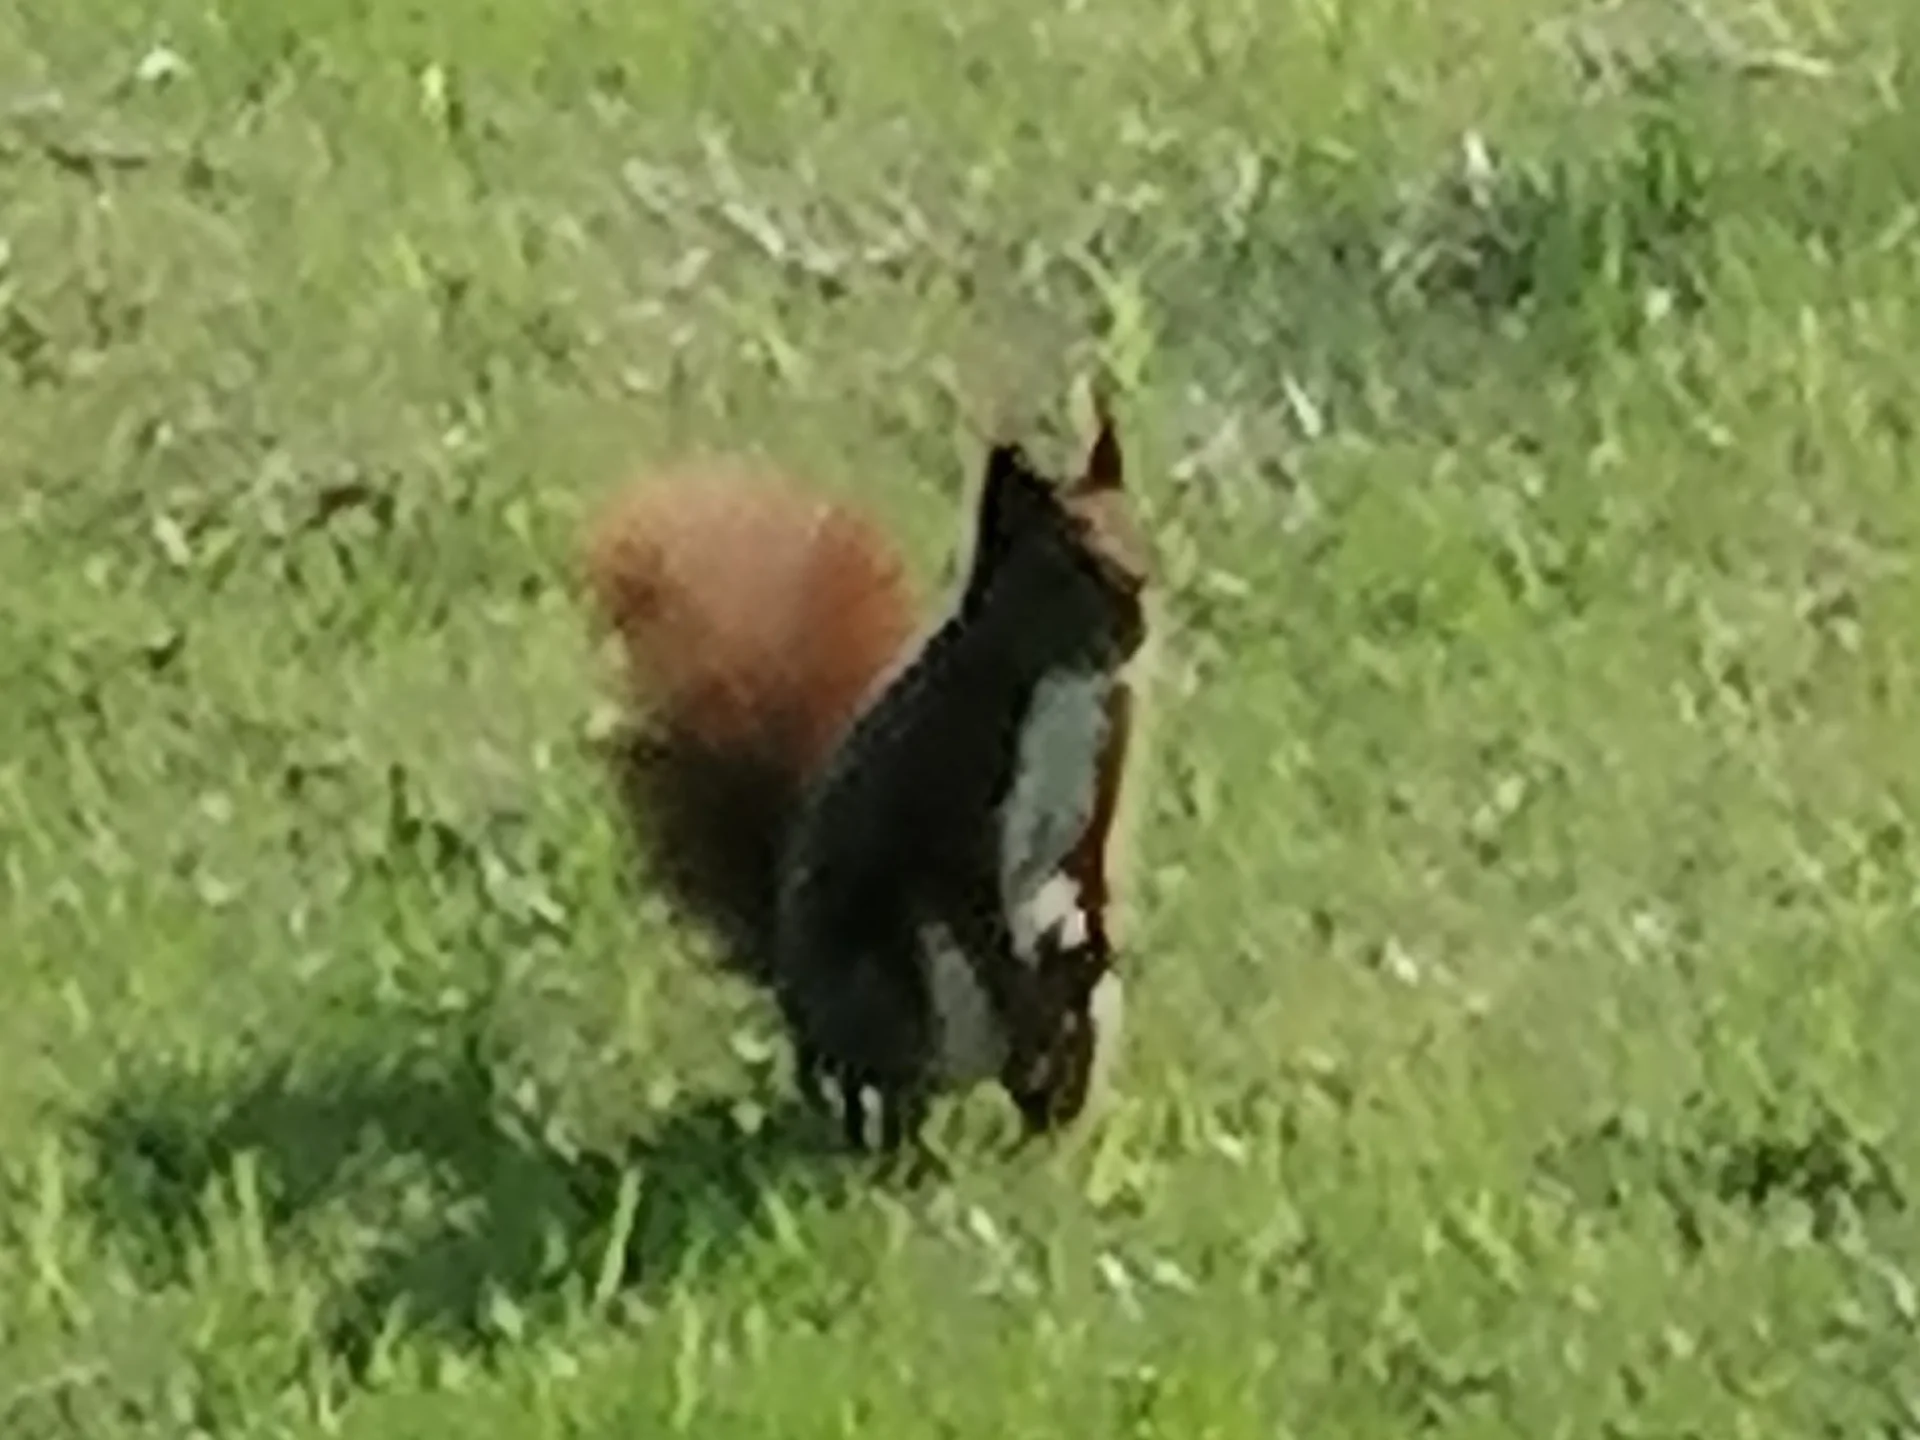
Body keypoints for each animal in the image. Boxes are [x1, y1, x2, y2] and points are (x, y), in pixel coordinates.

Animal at [581, 407, 1146, 1155]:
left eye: (1146, 538)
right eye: (1072, 558)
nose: (1140, 621)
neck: (1066, 679)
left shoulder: (1106, 765)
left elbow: (1090, 865)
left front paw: (1101, 929)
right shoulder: (949, 772)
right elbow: (967, 893)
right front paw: (1018, 984)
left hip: (1079, 1025)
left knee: (1048, 1072)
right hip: (886, 998)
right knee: (886, 1102)